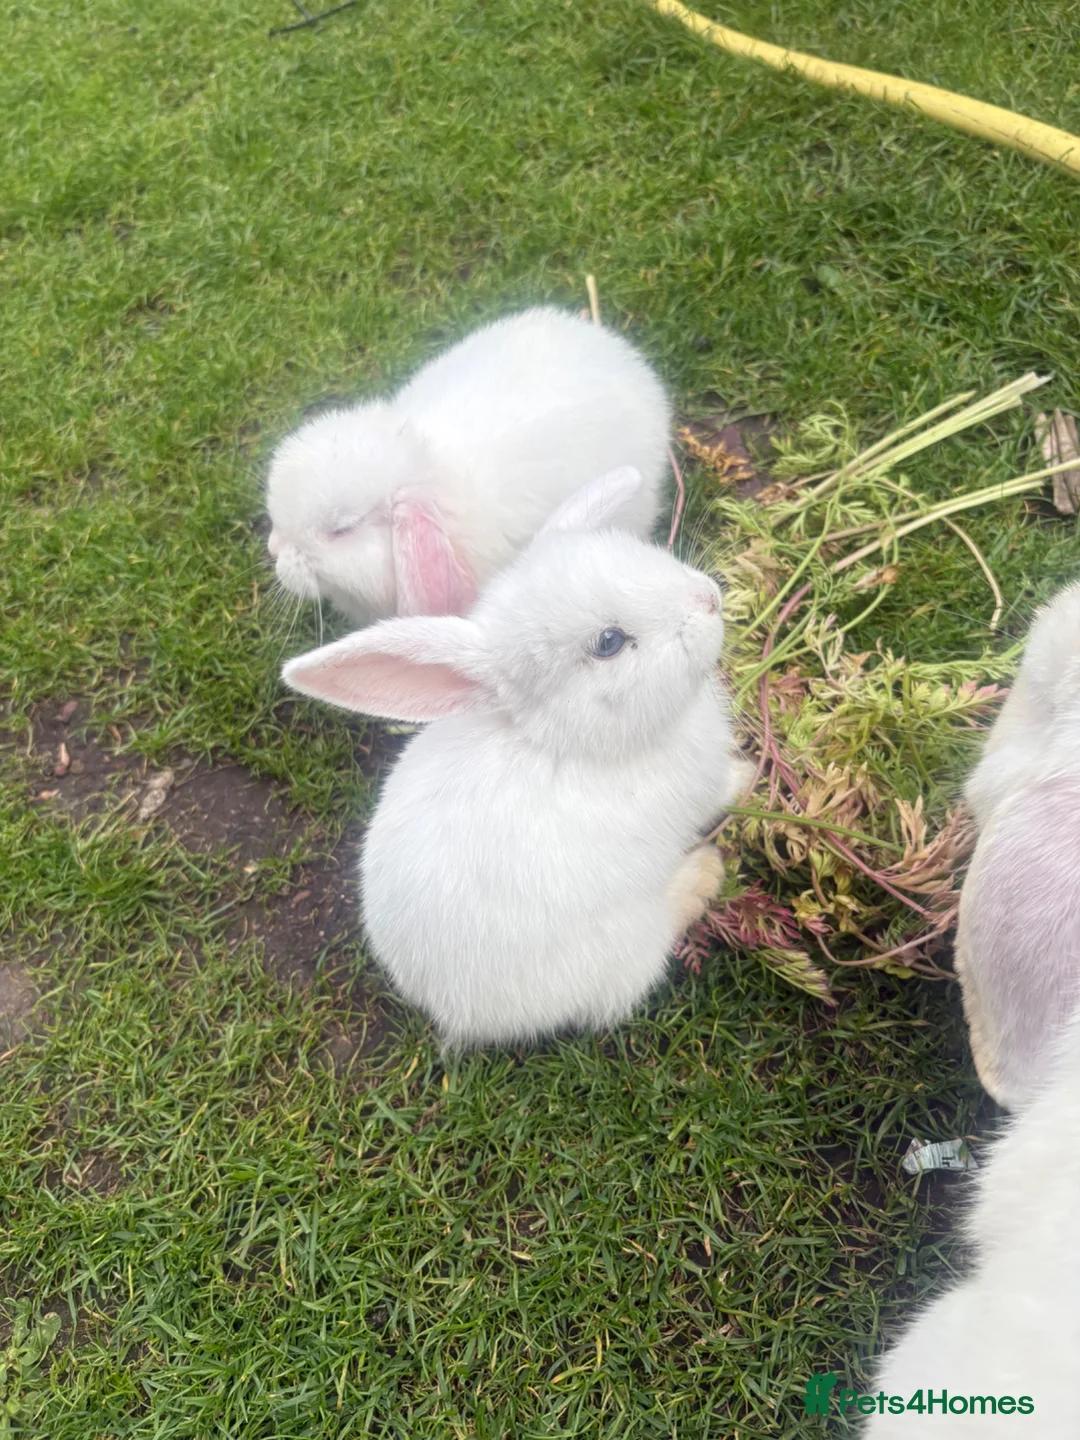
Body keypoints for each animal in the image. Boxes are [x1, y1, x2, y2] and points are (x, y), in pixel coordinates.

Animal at [281, 467, 747, 1050]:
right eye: (609, 642)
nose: (709, 599)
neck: (563, 744)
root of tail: (453, 1011)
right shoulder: (697, 790)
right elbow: (721, 791)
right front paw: (750, 775)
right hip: (624, 942)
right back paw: (704, 873)